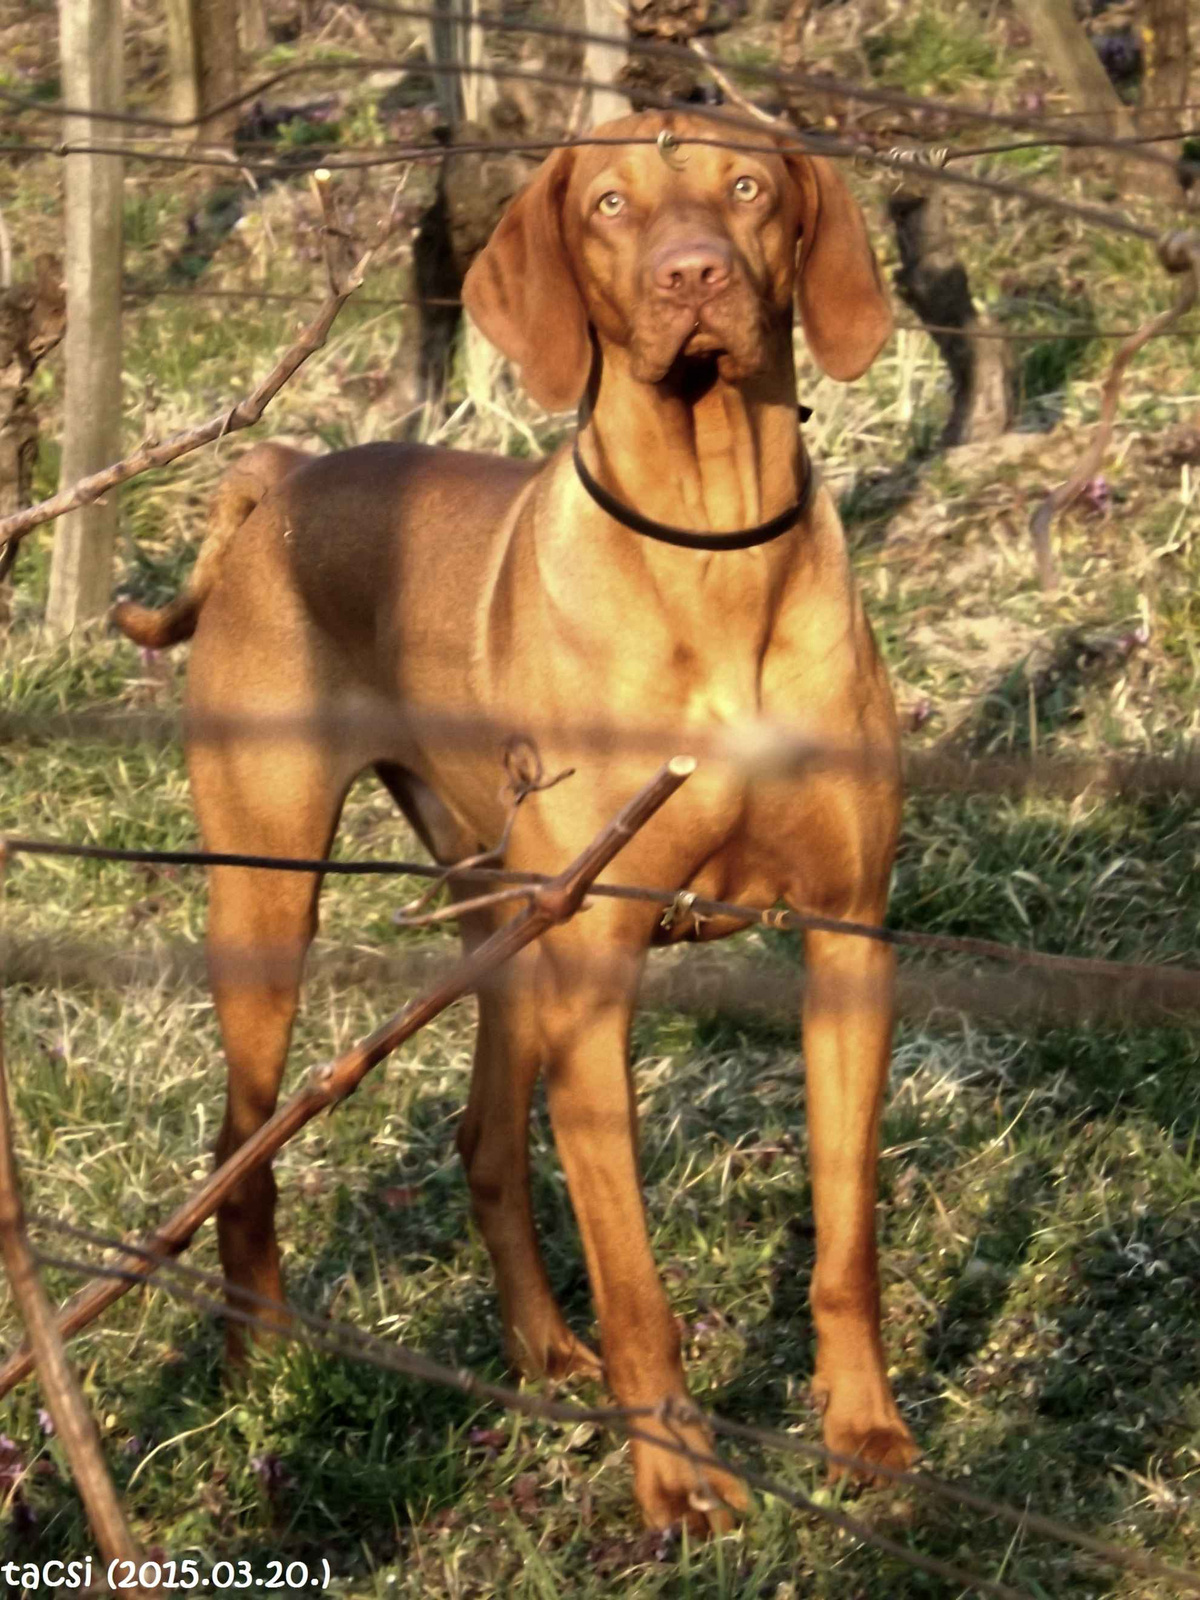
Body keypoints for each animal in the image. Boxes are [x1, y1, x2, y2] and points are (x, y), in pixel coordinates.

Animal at [115, 106, 921, 1529]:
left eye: (749, 188)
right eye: (608, 204)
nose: (695, 276)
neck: (711, 547)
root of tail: (281, 475)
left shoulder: (847, 936)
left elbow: (847, 1235)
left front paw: (863, 1432)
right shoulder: (596, 970)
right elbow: (640, 1284)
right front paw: (681, 1479)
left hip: (503, 912)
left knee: (486, 1138)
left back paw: (543, 1352)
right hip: (270, 897)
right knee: (243, 1137)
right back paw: (261, 1363)